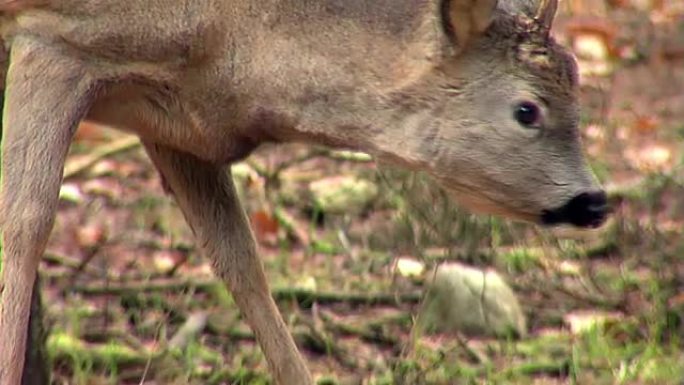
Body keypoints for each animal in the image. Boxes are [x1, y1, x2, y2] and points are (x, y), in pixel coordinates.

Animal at [0, 0, 608, 382]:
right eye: (526, 110)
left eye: (578, 91)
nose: (595, 200)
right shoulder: (54, 35)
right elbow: (23, 226)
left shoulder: (179, 124)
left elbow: (240, 262)